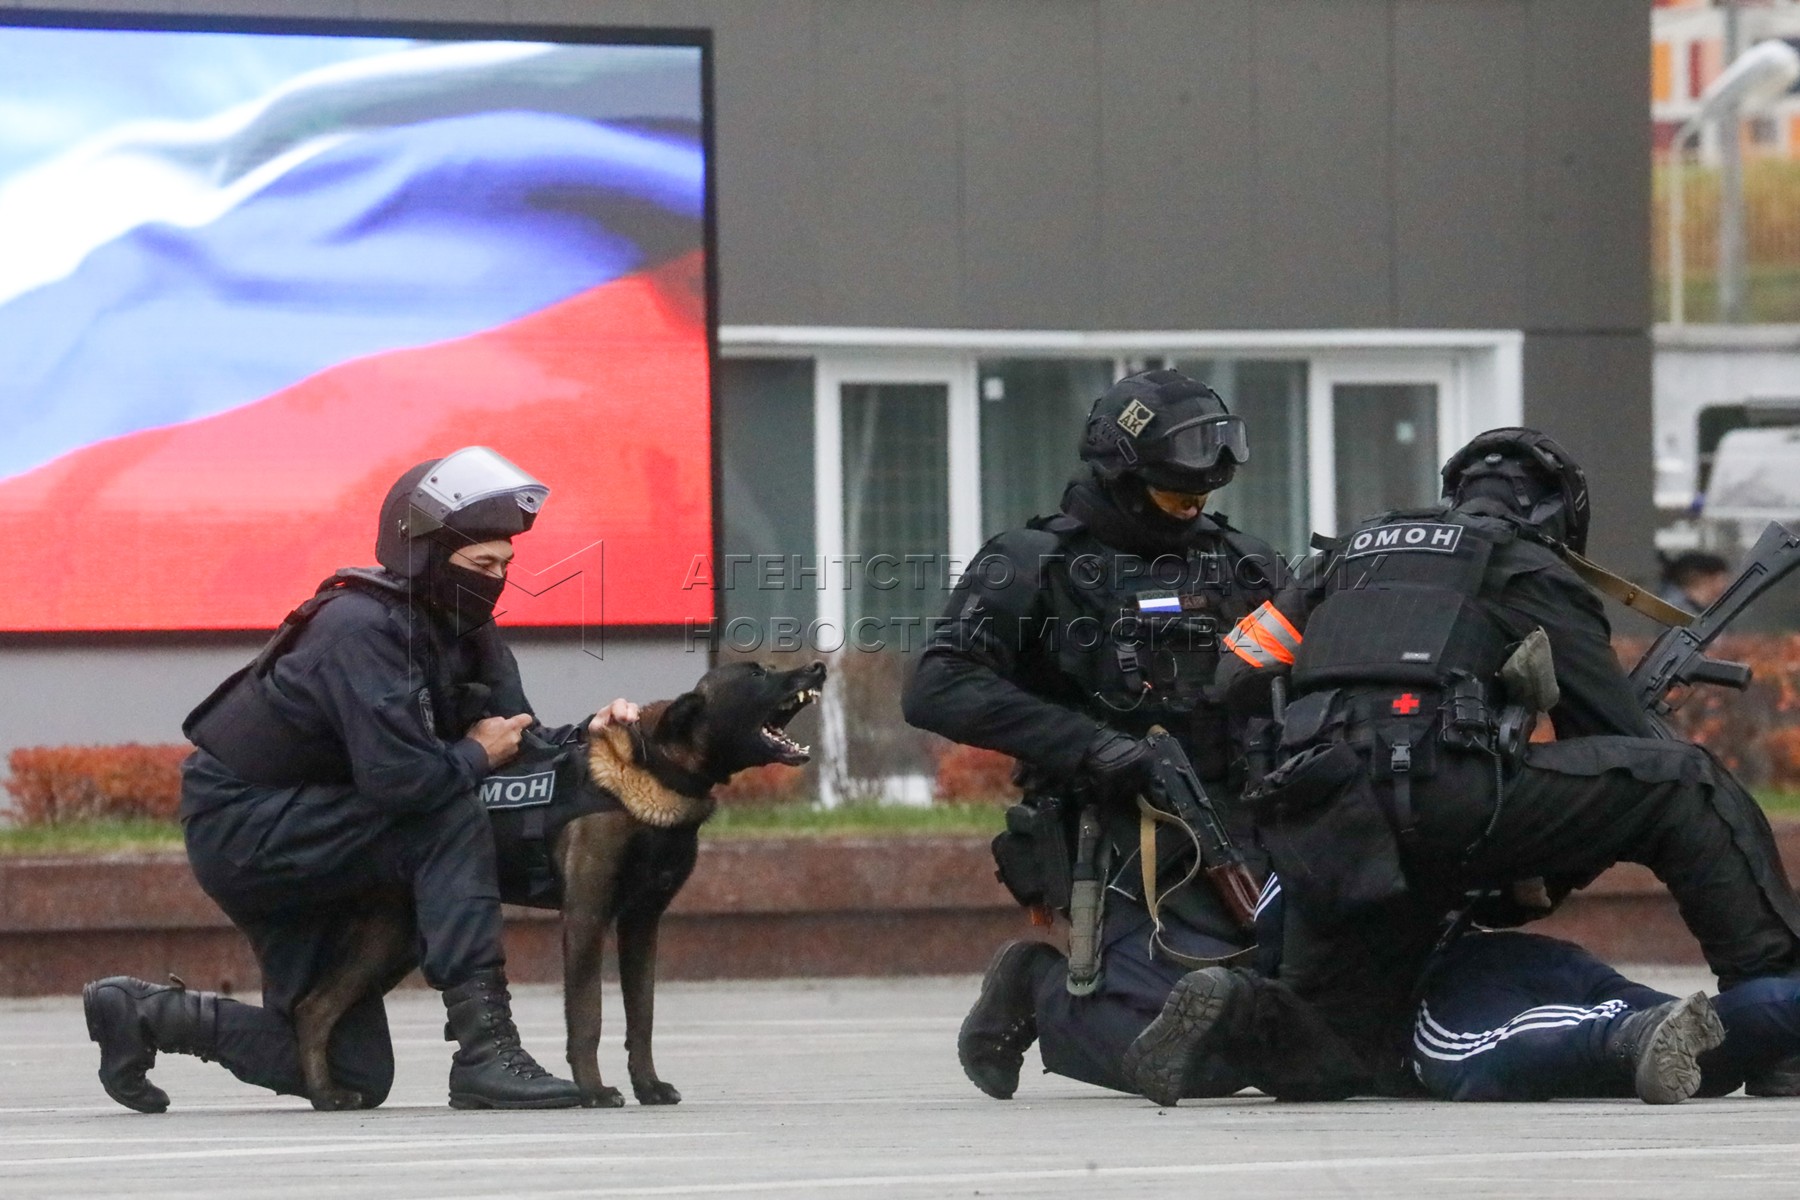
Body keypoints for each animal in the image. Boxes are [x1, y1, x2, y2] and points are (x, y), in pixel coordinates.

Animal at [291, 662, 824, 1115]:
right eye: (757, 675)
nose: (818, 667)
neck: (656, 771)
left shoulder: (641, 925)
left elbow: (642, 1017)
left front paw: (648, 1086)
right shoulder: (586, 917)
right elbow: (588, 1016)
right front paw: (593, 1091)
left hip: (395, 939)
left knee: (315, 1008)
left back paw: (326, 1095)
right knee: (316, 1008)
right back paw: (326, 1095)